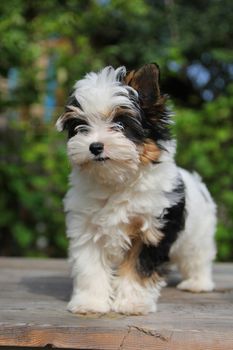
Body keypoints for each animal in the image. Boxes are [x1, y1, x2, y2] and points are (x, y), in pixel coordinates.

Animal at [56, 64, 217, 316]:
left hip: (198, 233)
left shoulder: (152, 229)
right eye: (81, 127)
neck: (118, 180)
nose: (95, 146)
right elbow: (90, 266)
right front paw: (91, 302)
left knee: (198, 256)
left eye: (121, 125)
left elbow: (138, 267)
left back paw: (197, 283)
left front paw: (132, 303)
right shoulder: (86, 228)